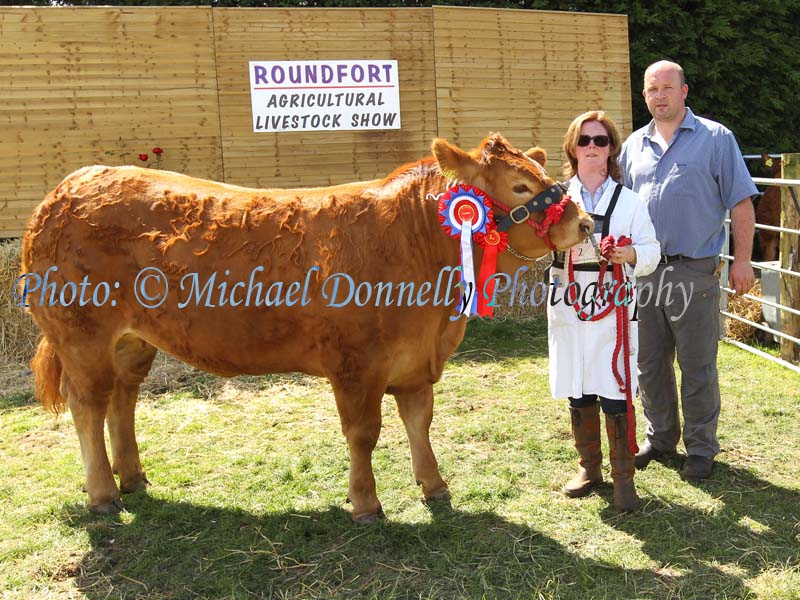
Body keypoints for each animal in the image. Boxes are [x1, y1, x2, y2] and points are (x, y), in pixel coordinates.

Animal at [21, 134, 592, 524]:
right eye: (520, 186)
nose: (585, 223)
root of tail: (68, 187)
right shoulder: (356, 363)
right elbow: (364, 433)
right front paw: (365, 503)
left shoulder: (415, 361)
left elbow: (419, 422)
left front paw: (434, 485)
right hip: (81, 335)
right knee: (87, 405)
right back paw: (103, 494)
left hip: (133, 340)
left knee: (123, 399)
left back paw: (134, 477)